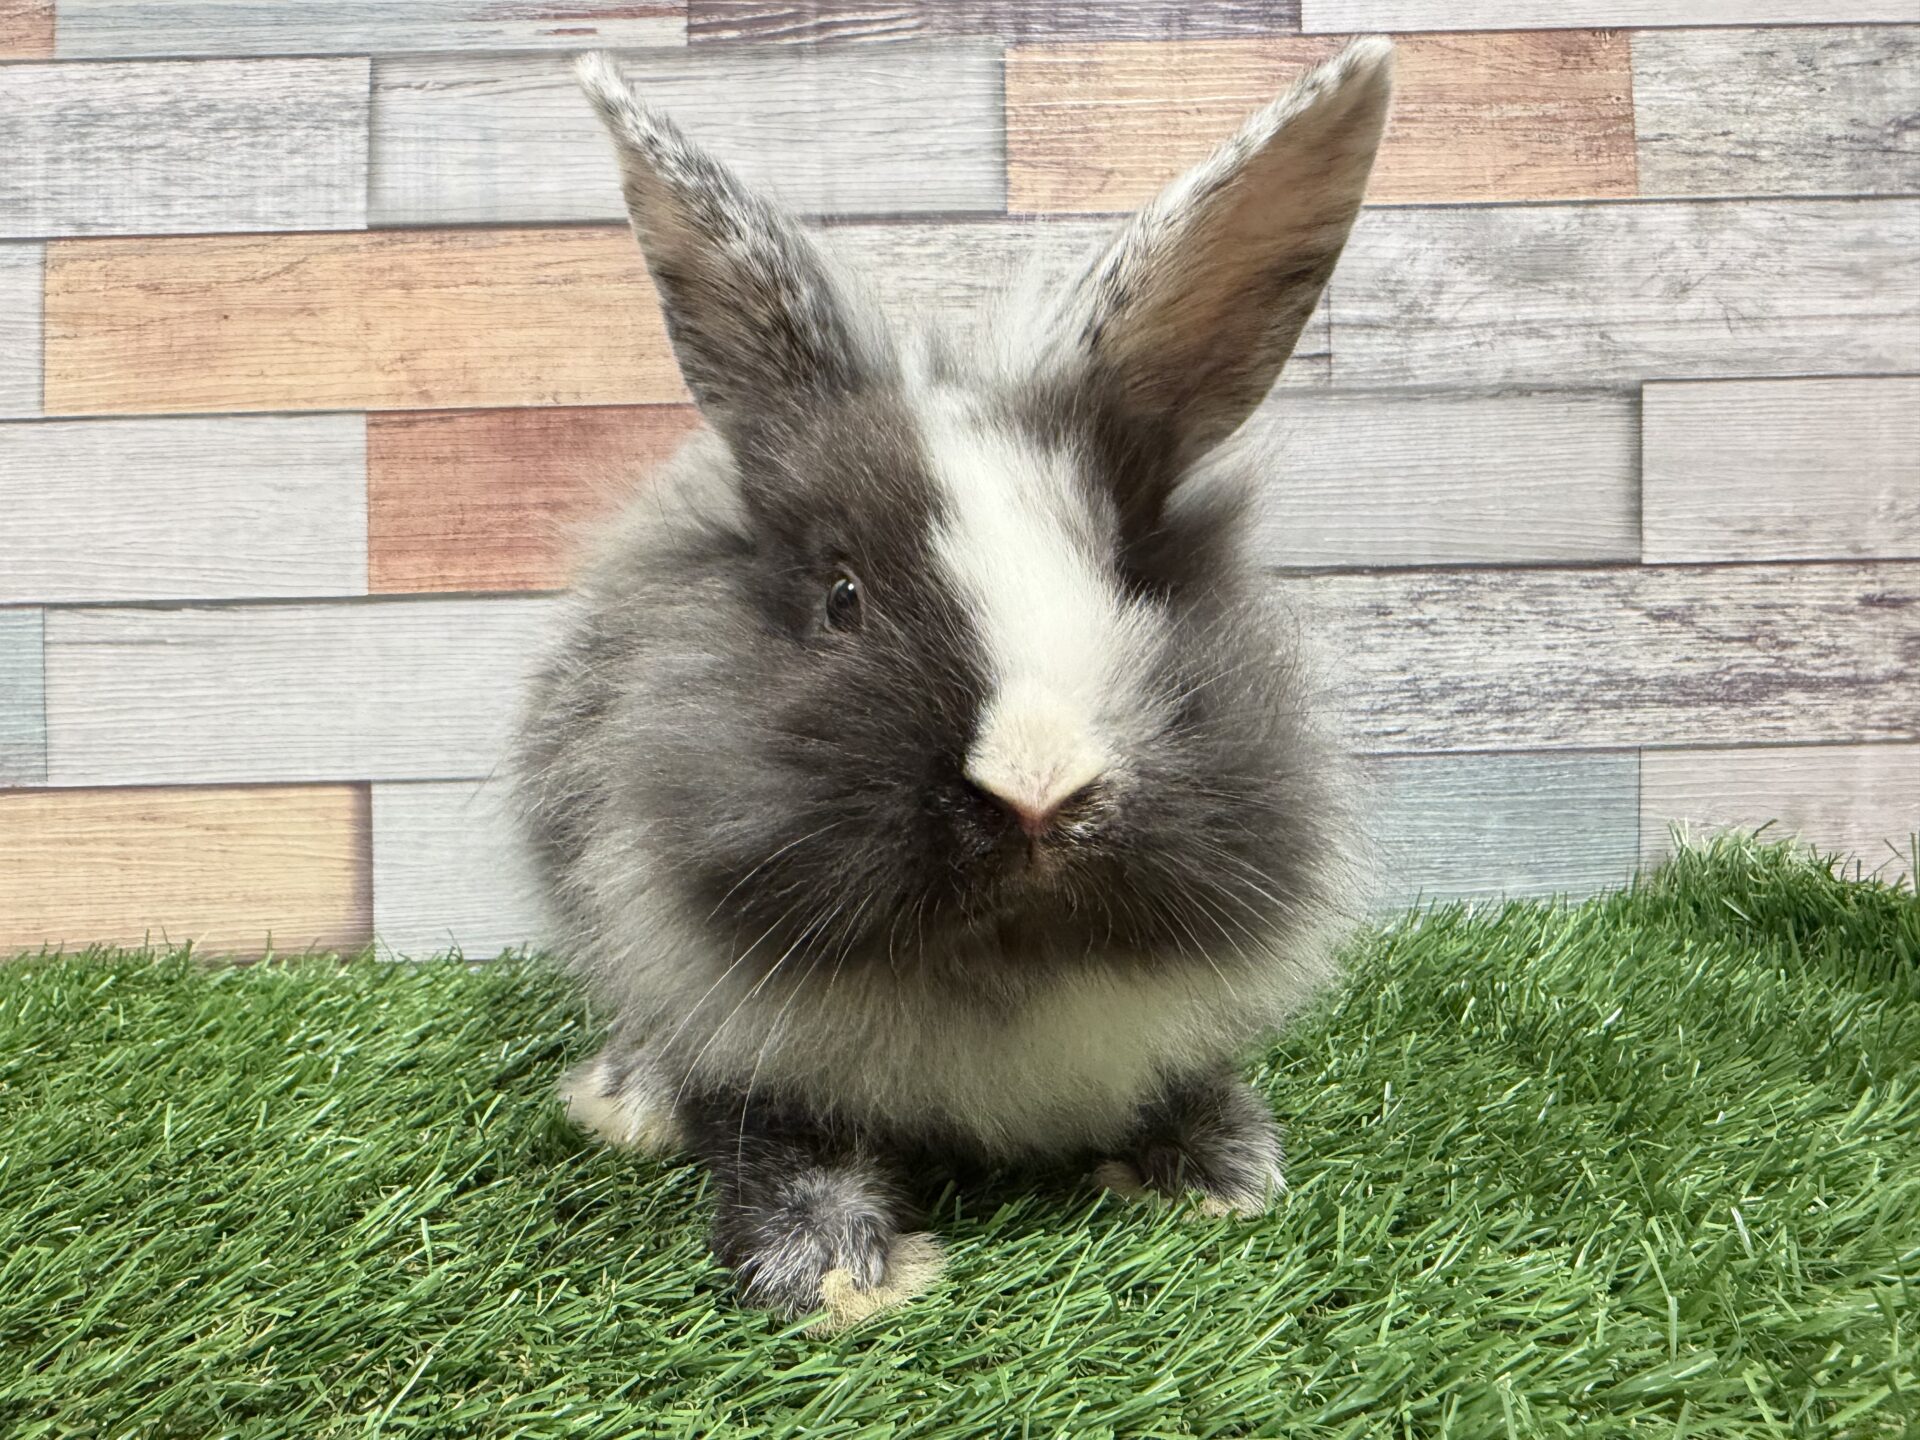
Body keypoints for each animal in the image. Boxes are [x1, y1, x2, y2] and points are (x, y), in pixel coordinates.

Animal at [517, 39, 1394, 1329]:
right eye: (842, 598)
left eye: (1130, 576)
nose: (1037, 791)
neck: (998, 972)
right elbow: (780, 1132)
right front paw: (837, 1270)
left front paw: (1219, 1175)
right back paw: (627, 1101)